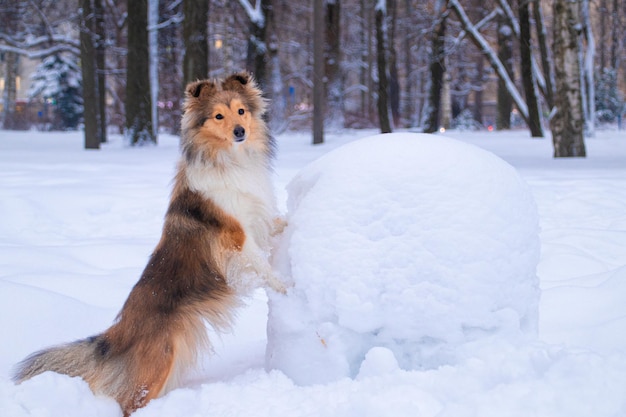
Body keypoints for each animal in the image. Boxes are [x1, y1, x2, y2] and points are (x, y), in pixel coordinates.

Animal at [12, 71, 286, 416]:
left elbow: (278, 225)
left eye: (241, 111)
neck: (230, 161)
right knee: (130, 403)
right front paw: (287, 287)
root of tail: (117, 333)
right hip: (156, 365)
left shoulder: (260, 219)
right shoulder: (235, 238)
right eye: (218, 116)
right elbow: (262, 266)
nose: (240, 132)